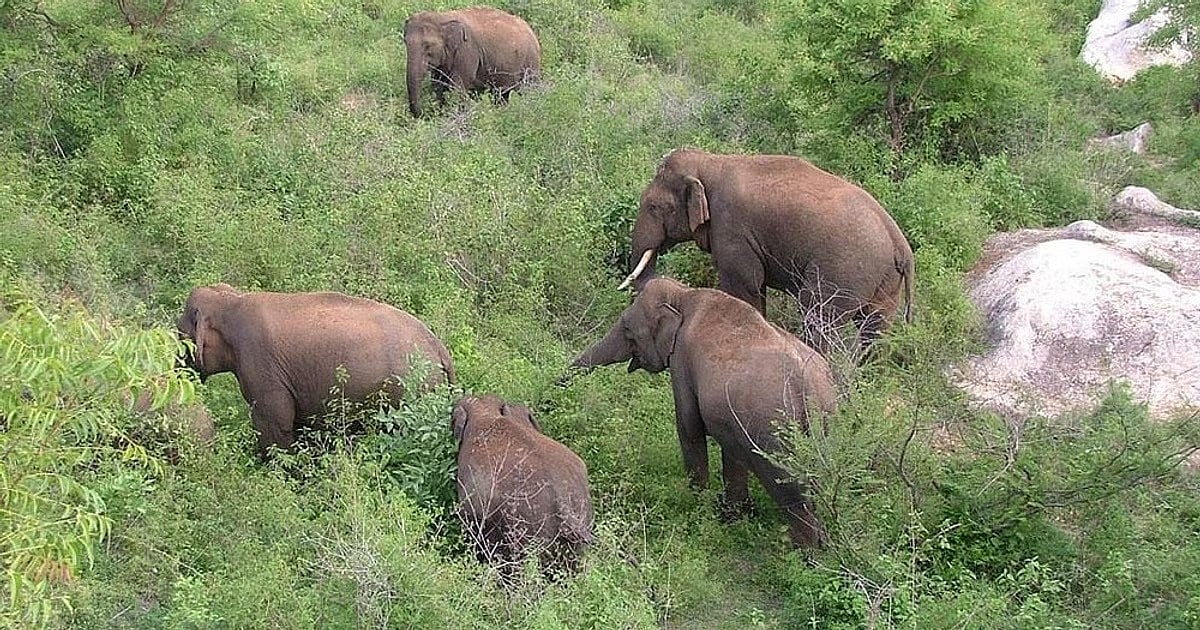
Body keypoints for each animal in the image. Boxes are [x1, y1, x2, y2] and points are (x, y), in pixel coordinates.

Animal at [176, 284, 456, 453]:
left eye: (179, 336)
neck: (232, 301)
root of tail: (440, 349)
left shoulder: (261, 367)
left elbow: (275, 426)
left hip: (410, 393)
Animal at [403, 8, 541, 118]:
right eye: (405, 42)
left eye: (427, 46)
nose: (423, 115)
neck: (441, 17)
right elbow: (438, 86)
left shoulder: (467, 51)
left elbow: (458, 88)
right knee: (501, 95)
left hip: (531, 61)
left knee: (530, 90)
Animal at [571, 277, 836, 548]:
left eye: (626, 328)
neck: (683, 293)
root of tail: (809, 389)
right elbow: (732, 451)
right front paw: (732, 516)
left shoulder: (681, 361)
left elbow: (689, 428)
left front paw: (698, 507)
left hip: (774, 432)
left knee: (792, 494)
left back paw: (804, 553)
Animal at [618, 148, 915, 354]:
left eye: (654, 207)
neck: (712, 161)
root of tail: (901, 246)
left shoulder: (734, 231)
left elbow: (745, 288)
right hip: (886, 281)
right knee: (875, 329)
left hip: (845, 271)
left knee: (816, 312)